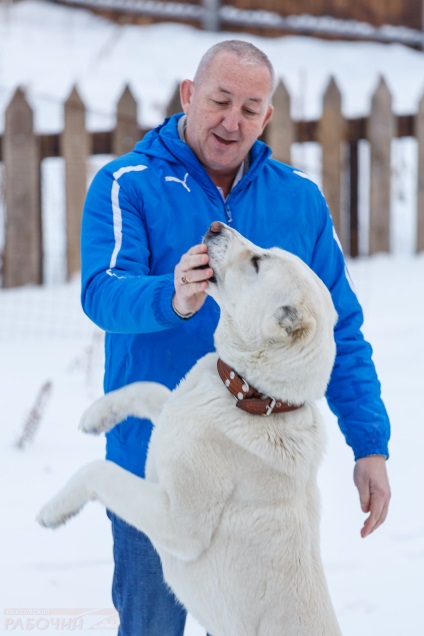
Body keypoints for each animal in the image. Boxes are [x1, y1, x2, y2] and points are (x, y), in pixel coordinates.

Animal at [37, 222, 342, 636]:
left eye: (257, 262)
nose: (216, 226)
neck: (252, 396)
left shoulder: (178, 524)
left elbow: (100, 471)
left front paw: (54, 510)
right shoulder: (174, 408)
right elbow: (150, 389)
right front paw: (96, 414)